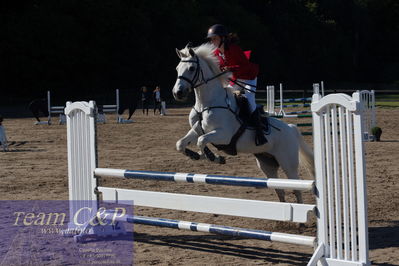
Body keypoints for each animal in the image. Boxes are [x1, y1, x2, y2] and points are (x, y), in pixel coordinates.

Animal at [173, 43, 314, 202]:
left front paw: (214, 157)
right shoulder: (197, 130)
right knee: (280, 190)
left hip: (288, 163)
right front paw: (196, 155)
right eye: (177, 68)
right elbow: (181, 143)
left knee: (296, 188)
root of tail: (291, 128)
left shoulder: (224, 135)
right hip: (267, 164)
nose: (177, 93)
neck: (205, 104)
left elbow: (202, 141)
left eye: (191, 68)